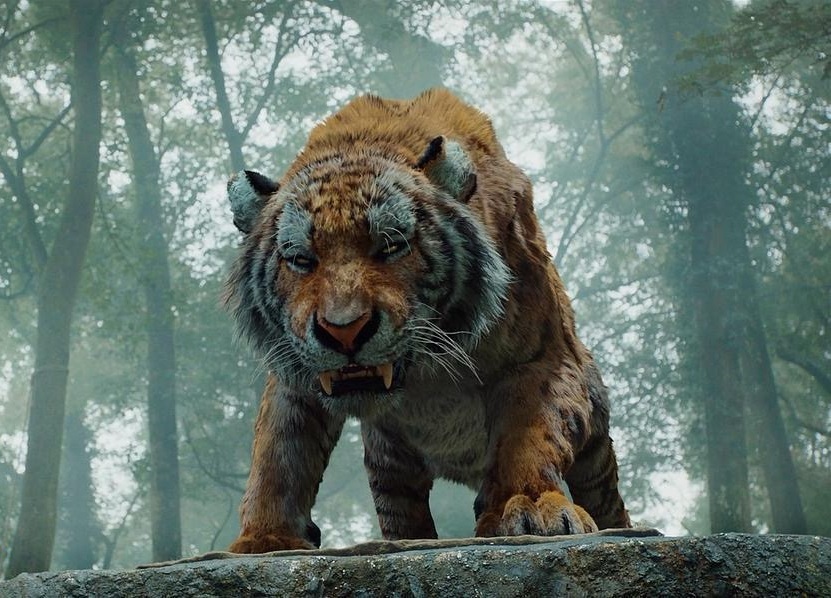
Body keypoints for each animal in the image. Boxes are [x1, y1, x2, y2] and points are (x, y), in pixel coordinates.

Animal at [223, 88, 630, 553]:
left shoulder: (539, 359)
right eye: (300, 260)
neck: (426, 376)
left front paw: (530, 506)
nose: (343, 331)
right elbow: (279, 451)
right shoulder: (295, 370)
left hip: (596, 452)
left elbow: (527, 432)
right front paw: (265, 538)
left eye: (390, 246)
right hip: (391, 468)